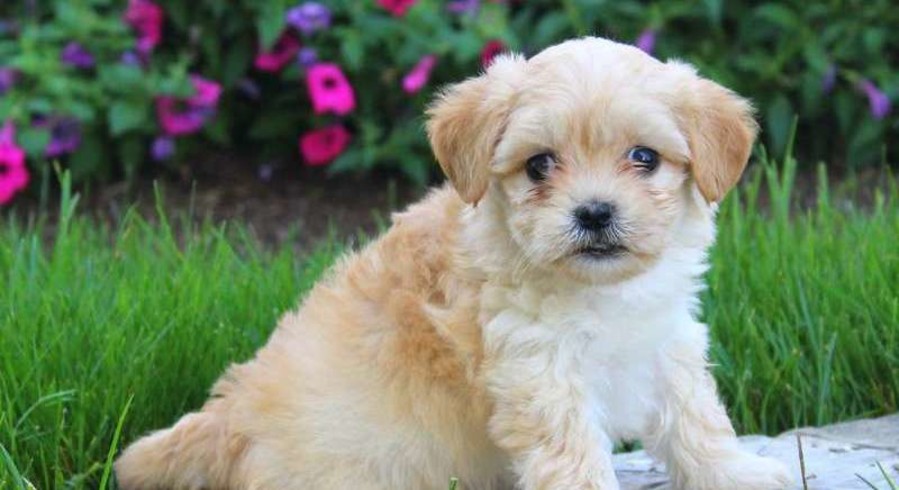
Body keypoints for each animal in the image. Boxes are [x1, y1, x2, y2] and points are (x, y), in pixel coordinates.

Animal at [114, 38, 796, 490]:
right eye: (539, 165)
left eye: (644, 157)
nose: (595, 213)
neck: (598, 290)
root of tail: (230, 419)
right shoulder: (537, 372)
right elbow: (574, 455)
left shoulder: (667, 339)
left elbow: (696, 418)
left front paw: (738, 473)